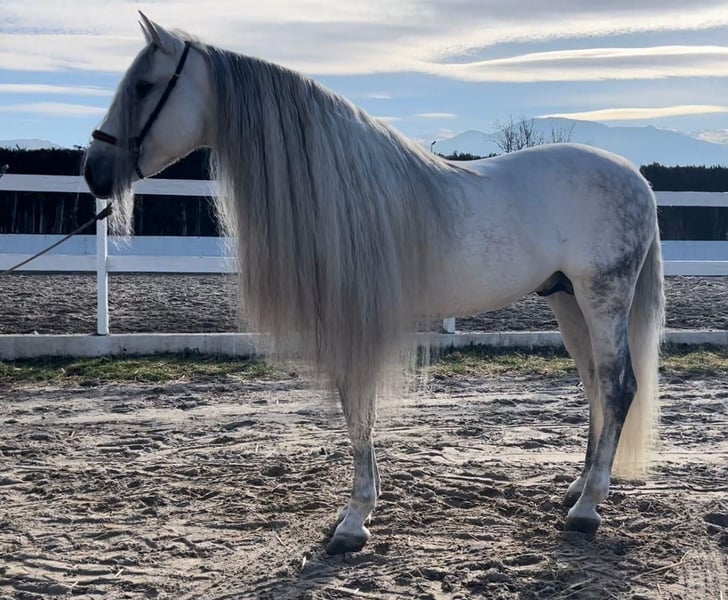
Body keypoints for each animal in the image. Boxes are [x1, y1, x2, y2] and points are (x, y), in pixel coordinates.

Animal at [83, 13, 665, 555]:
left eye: (143, 86)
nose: (93, 171)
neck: (342, 189)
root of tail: (635, 177)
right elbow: (353, 405)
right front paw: (357, 510)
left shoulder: (355, 320)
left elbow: (357, 403)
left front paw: (355, 518)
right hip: (567, 299)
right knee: (593, 383)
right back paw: (578, 488)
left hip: (603, 295)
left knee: (617, 385)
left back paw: (588, 509)